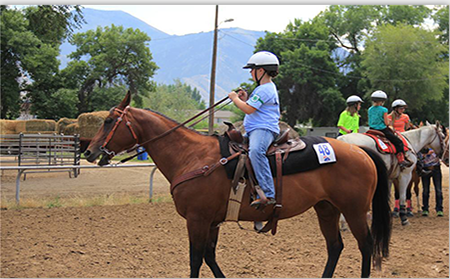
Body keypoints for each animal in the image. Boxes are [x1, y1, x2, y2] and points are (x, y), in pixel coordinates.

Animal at [83, 93, 390, 278]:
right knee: (335, 246)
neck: (193, 156)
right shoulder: (211, 221)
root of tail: (361, 150)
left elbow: (196, 258)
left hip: (353, 210)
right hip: (326, 208)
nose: (88, 152)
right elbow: (209, 256)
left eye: (108, 120)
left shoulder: (197, 219)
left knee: (365, 245)